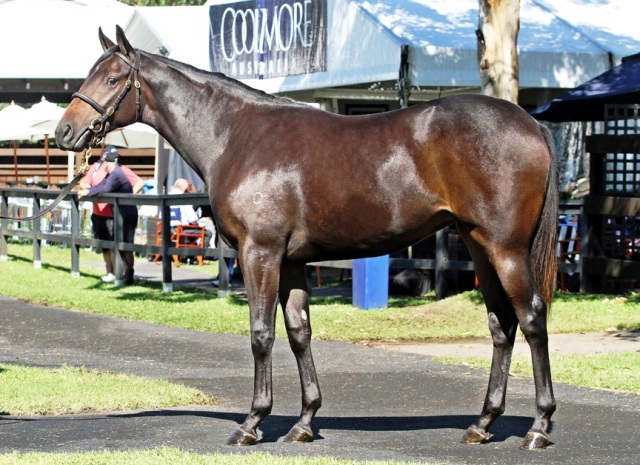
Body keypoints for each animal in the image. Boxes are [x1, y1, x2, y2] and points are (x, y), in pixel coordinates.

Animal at [55, 26, 556, 450]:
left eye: (112, 77)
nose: (64, 131)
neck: (236, 136)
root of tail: (531, 124)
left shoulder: (260, 253)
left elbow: (261, 333)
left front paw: (252, 423)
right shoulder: (292, 261)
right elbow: (299, 333)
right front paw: (304, 422)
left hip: (506, 249)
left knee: (531, 318)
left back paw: (539, 427)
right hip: (478, 244)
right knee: (501, 324)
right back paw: (483, 424)